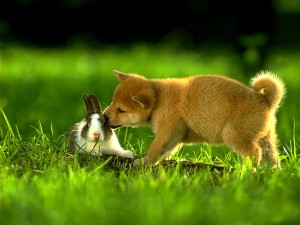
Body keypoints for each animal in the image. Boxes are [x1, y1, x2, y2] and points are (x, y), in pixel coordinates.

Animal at [104, 70, 284, 167]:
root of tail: (265, 100)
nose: (104, 117)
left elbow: (155, 149)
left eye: (121, 110)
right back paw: (272, 172)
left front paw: (144, 162)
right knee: (271, 156)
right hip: (266, 138)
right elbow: (167, 151)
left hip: (233, 135)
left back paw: (245, 172)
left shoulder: (167, 131)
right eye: (113, 101)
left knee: (254, 153)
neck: (159, 99)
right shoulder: (175, 136)